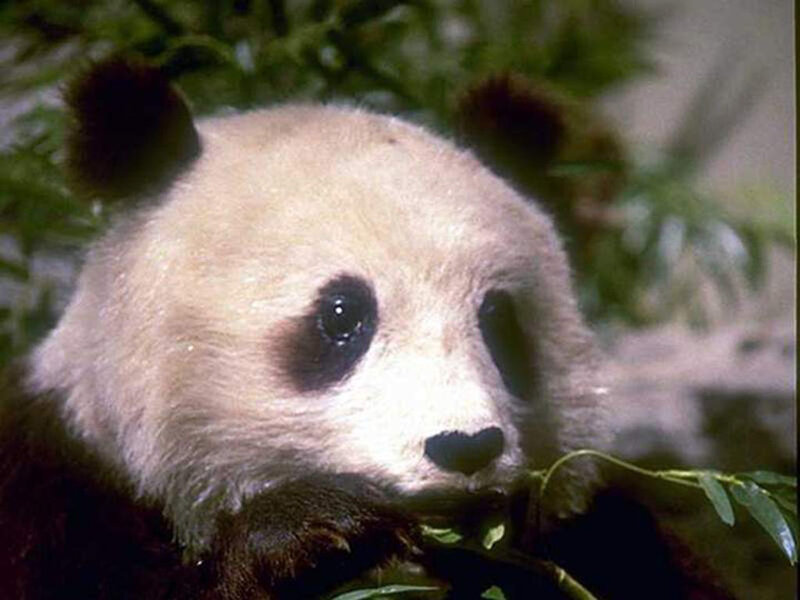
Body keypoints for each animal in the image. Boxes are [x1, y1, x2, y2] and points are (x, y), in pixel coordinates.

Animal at [0, 58, 731, 600]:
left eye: (498, 320)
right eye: (343, 316)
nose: (466, 446)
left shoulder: (604, 535)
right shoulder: (59, 488)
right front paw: (311, 528)